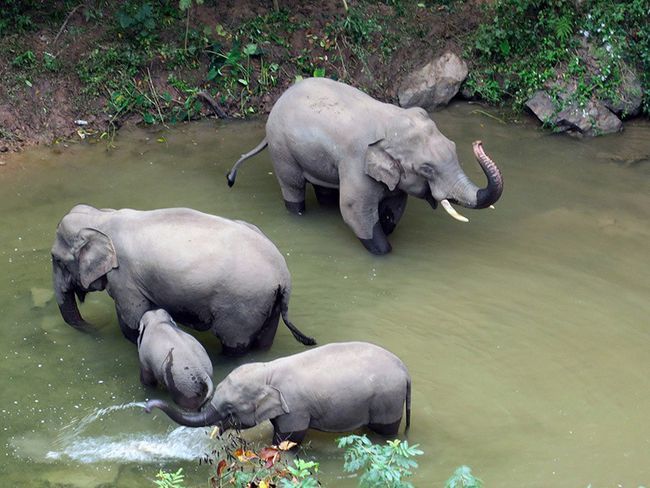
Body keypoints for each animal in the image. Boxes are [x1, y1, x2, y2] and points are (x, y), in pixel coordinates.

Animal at [51, 204, 316, 354]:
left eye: (56, 259)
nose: (96, 328)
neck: (102, 218)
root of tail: (283, 276)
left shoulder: (124, 278)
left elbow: (132, 321)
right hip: (268, 303)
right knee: (263, 342)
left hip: (242, 304)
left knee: (233, 343)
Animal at [144, 342, 411, 445]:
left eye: (230, 410)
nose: (146, 408)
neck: (268, 371)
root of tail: (405, 369)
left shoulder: (297, 409)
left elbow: (288, 440)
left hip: (388, 400)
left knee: (384, 431)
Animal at [227, 77, 503, 255]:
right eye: (427, 169)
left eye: (454, 147)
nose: (478, 143)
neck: (391, 122)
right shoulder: (356, 162)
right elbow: (354, 210)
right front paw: (385, 251)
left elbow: (395, 206)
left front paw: (388, 225)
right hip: (281, 149)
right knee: (293, 186)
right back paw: (299, 214)